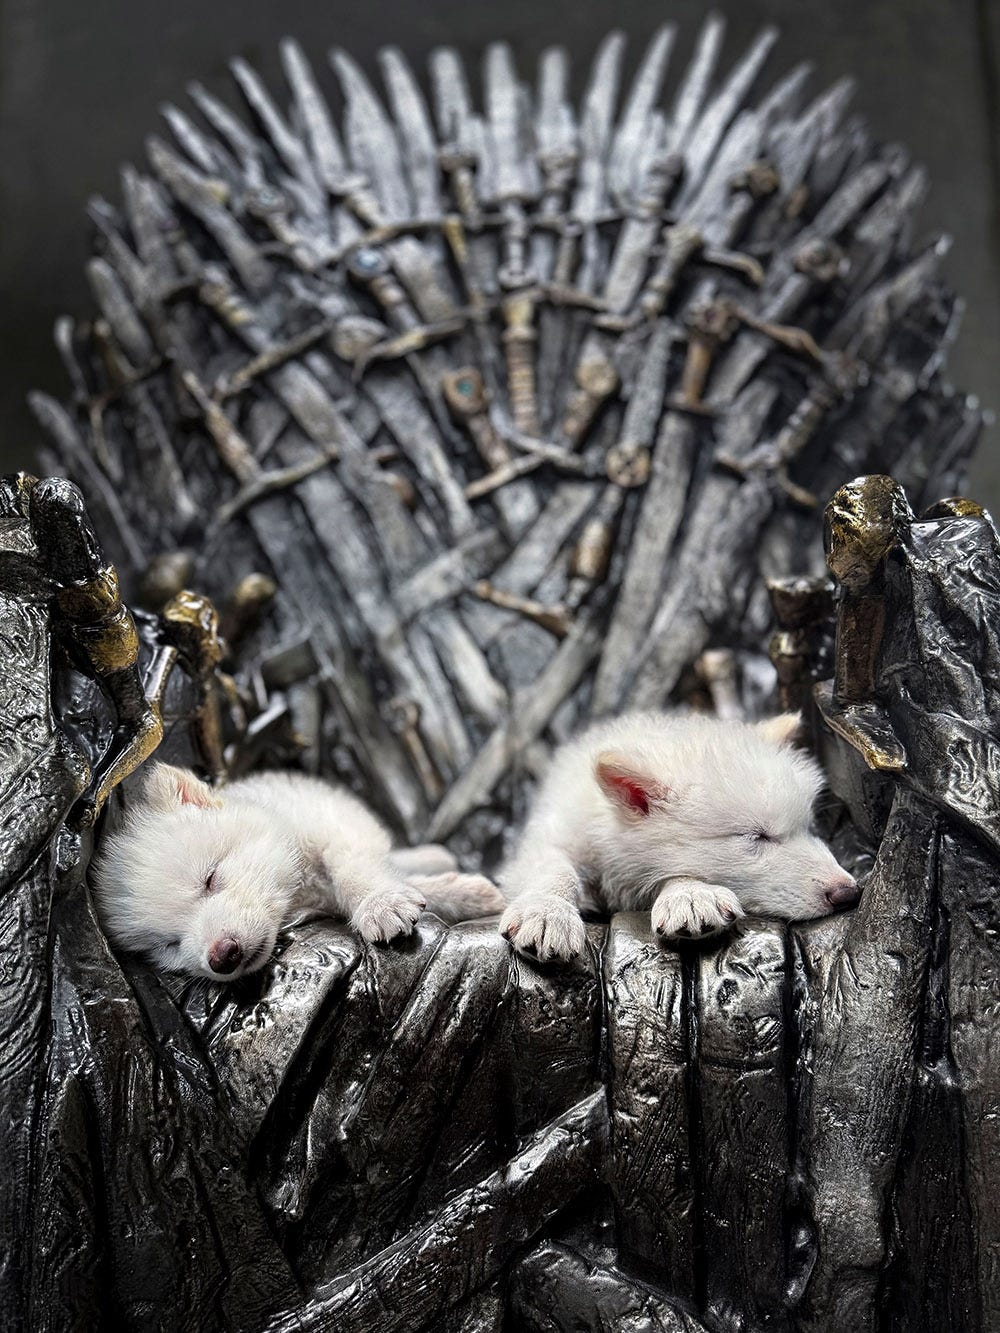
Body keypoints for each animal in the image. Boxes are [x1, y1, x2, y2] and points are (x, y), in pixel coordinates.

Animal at [93, 764, 503, 981]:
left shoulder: (336, 825)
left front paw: (380, 903)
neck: (298, 890)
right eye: (170, 944)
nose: (221, 956)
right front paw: (464, 895)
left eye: (209, 879)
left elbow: (353, 868)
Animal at [498, 711, 859, 961]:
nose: (849, 893)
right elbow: (554, 868)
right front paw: (546, 913)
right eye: (756, 836)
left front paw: (690, 895)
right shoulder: (552, 835)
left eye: (808, 828)